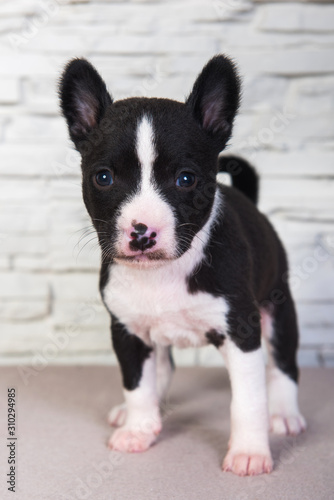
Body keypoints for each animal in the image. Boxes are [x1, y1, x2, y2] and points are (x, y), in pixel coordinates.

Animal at [59, 54, 306, 476]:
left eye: (186, 179)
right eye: (103, 178)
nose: (142, 231)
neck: (163, 273)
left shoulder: (242, 333)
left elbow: (248, 400)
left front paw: (249, 451)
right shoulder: (127, 332)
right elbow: (138, 385)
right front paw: (138, 429)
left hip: (278, 310)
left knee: (284, 364)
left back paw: (285, 413)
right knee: (161, 369)